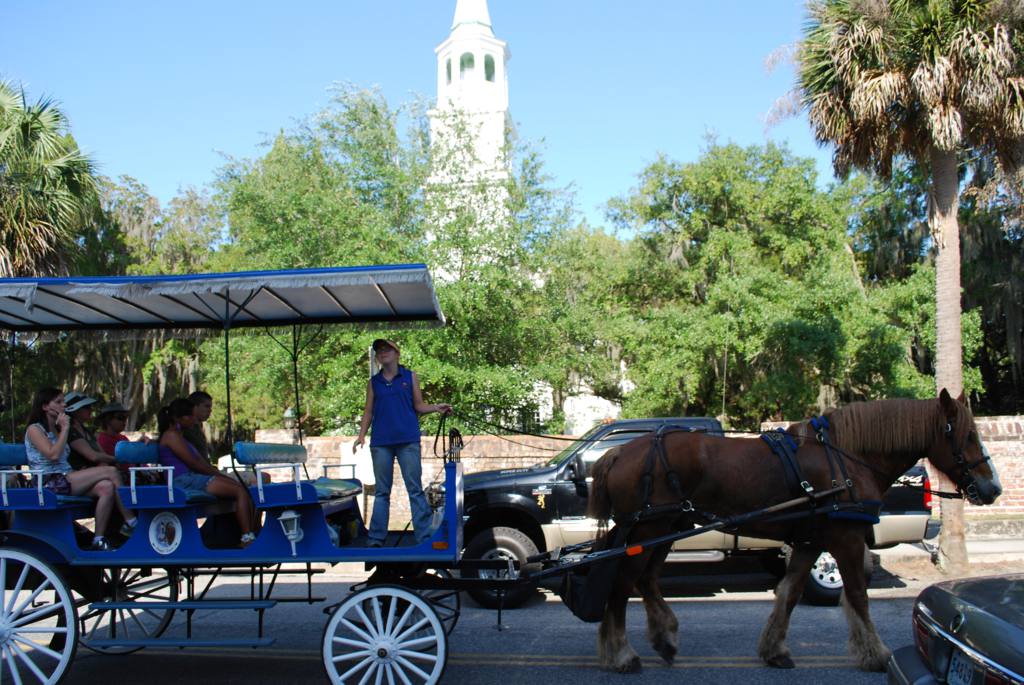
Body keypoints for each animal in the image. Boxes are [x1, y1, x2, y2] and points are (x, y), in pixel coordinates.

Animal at [589, 389, 1003, 671]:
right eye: (967, 435)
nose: (992, 487)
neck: (848, 459)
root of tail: (618, 452)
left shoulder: (810, 541)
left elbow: (789, 593)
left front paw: (775, 650)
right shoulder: (846, 539)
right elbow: (857, 595)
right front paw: (876, 653)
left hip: (667, 528)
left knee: (646, 580)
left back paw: (663, 638)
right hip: (648, 530)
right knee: (624, 583)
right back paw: (622, 653)